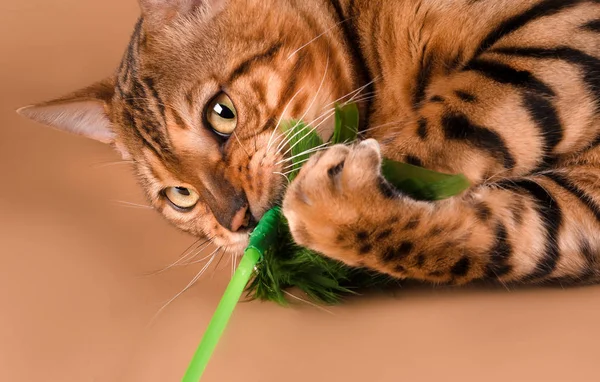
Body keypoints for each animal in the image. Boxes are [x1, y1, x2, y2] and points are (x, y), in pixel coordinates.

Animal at [15, 0, 600, 286]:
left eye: (221, 113)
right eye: (180, 196)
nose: (237, 221)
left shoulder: (564, 30)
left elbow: (447, 130)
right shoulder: (581, 208)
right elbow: (511, 237)